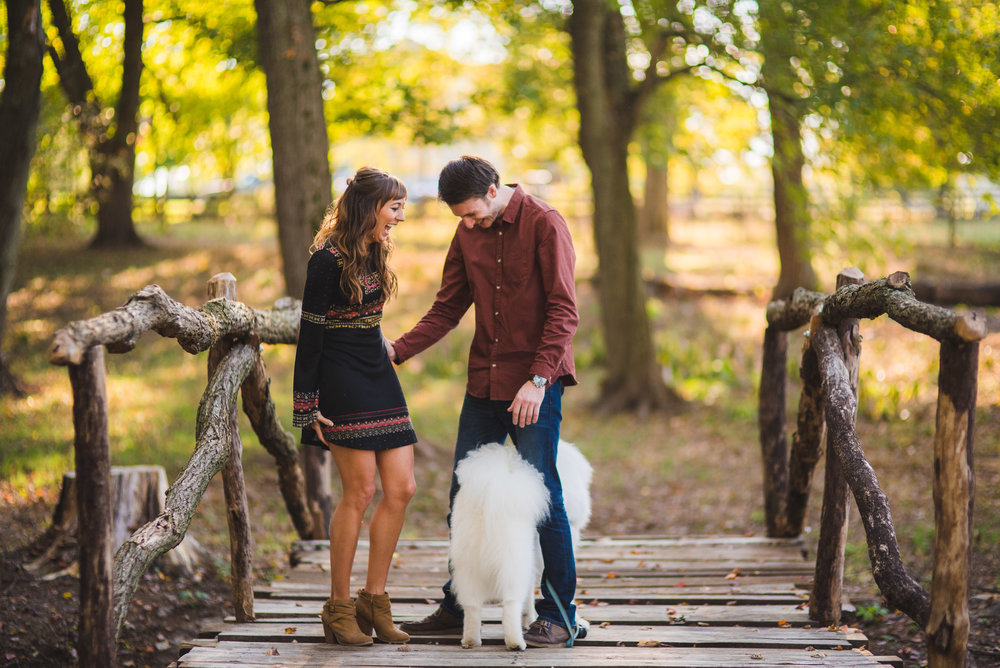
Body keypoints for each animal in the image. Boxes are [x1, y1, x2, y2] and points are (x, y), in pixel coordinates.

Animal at [450, 440, 588, 648]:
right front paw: (576, 623)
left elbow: (530, 595)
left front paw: (530, 619)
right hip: (513, 565)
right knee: (510, 605)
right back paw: (516, 642)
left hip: (468, 567)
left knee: (472, 606)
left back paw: (471, 640)